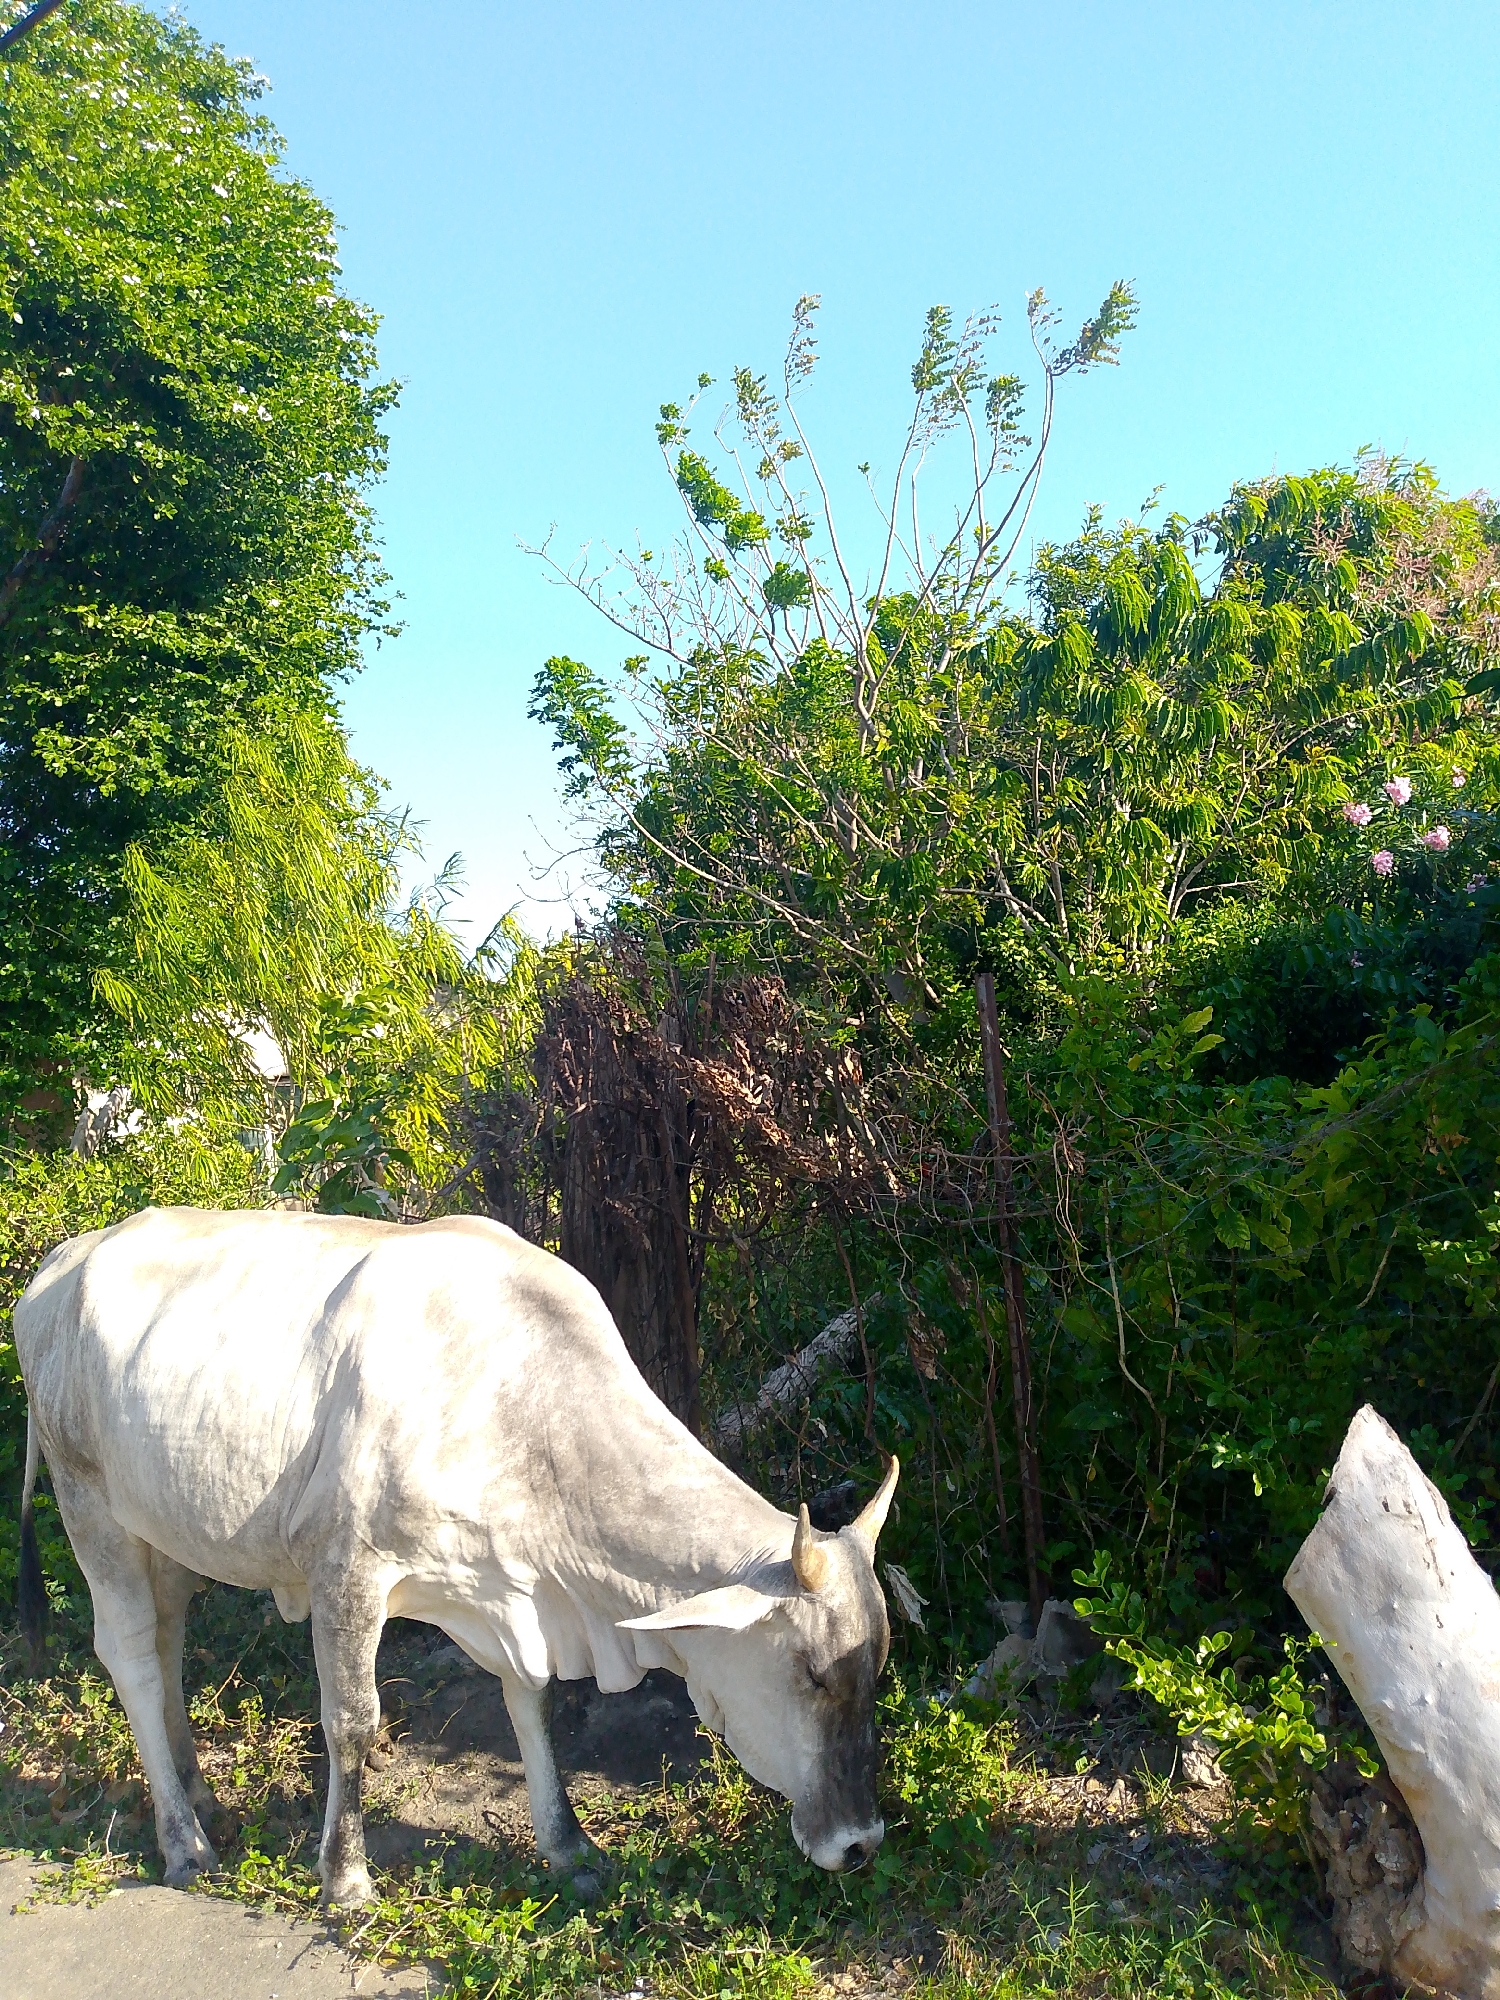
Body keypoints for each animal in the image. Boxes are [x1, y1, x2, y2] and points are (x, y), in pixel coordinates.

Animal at [14, 1206, 896, 1904]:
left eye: (877, 1669)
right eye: (813, 1675)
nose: (860, 1844)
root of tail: (62, 1263)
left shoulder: (509, 1592)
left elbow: (532, 1703)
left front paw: (568, 1847)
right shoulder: (347, 1570)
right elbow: (352, 1722)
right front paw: (346, 1877)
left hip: (163, 1532)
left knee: (168, 1642)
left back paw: (203, 1798)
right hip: (89, 1507)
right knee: (130, 1655)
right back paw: (183, 1842)